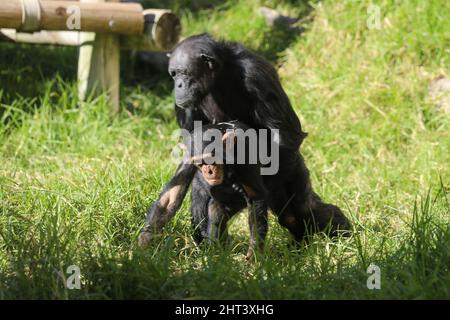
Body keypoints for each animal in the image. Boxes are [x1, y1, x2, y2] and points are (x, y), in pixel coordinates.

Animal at [185, 121, 268, 258]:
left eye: (212, 159)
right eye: (200, 163)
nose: (209, 171)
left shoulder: (246, 151)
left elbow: (255, 197)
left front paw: (253, 253)